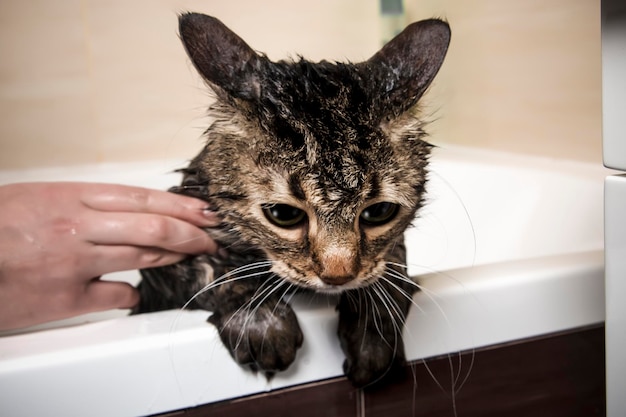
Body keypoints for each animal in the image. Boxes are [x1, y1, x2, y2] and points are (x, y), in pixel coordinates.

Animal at [134, 13, 448, 388]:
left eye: (379, 212)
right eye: (283, 214)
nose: (338, 277)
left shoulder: (389, 254)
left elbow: (391, 268)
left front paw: (373, 336)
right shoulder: (165, 256)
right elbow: (212, 268)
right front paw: (261, 322)